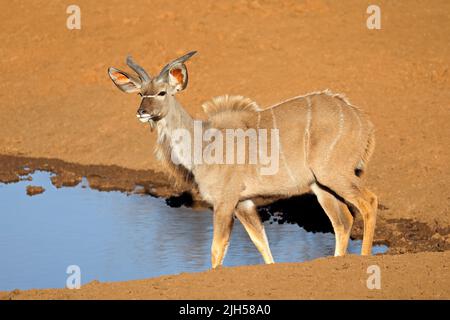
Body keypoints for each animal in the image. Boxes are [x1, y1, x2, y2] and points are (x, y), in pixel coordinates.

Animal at [108, 52, 376, 268]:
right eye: (141, 93)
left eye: (162, 92)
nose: (142, 112)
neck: (202, 143)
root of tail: (363, 122)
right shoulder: (243, 203)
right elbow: (261, 243)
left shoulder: (224, 201)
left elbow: (217, 250)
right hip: (320, 185)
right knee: (343, 220)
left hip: (334, 174)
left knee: (368, 202)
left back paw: (364, 258)